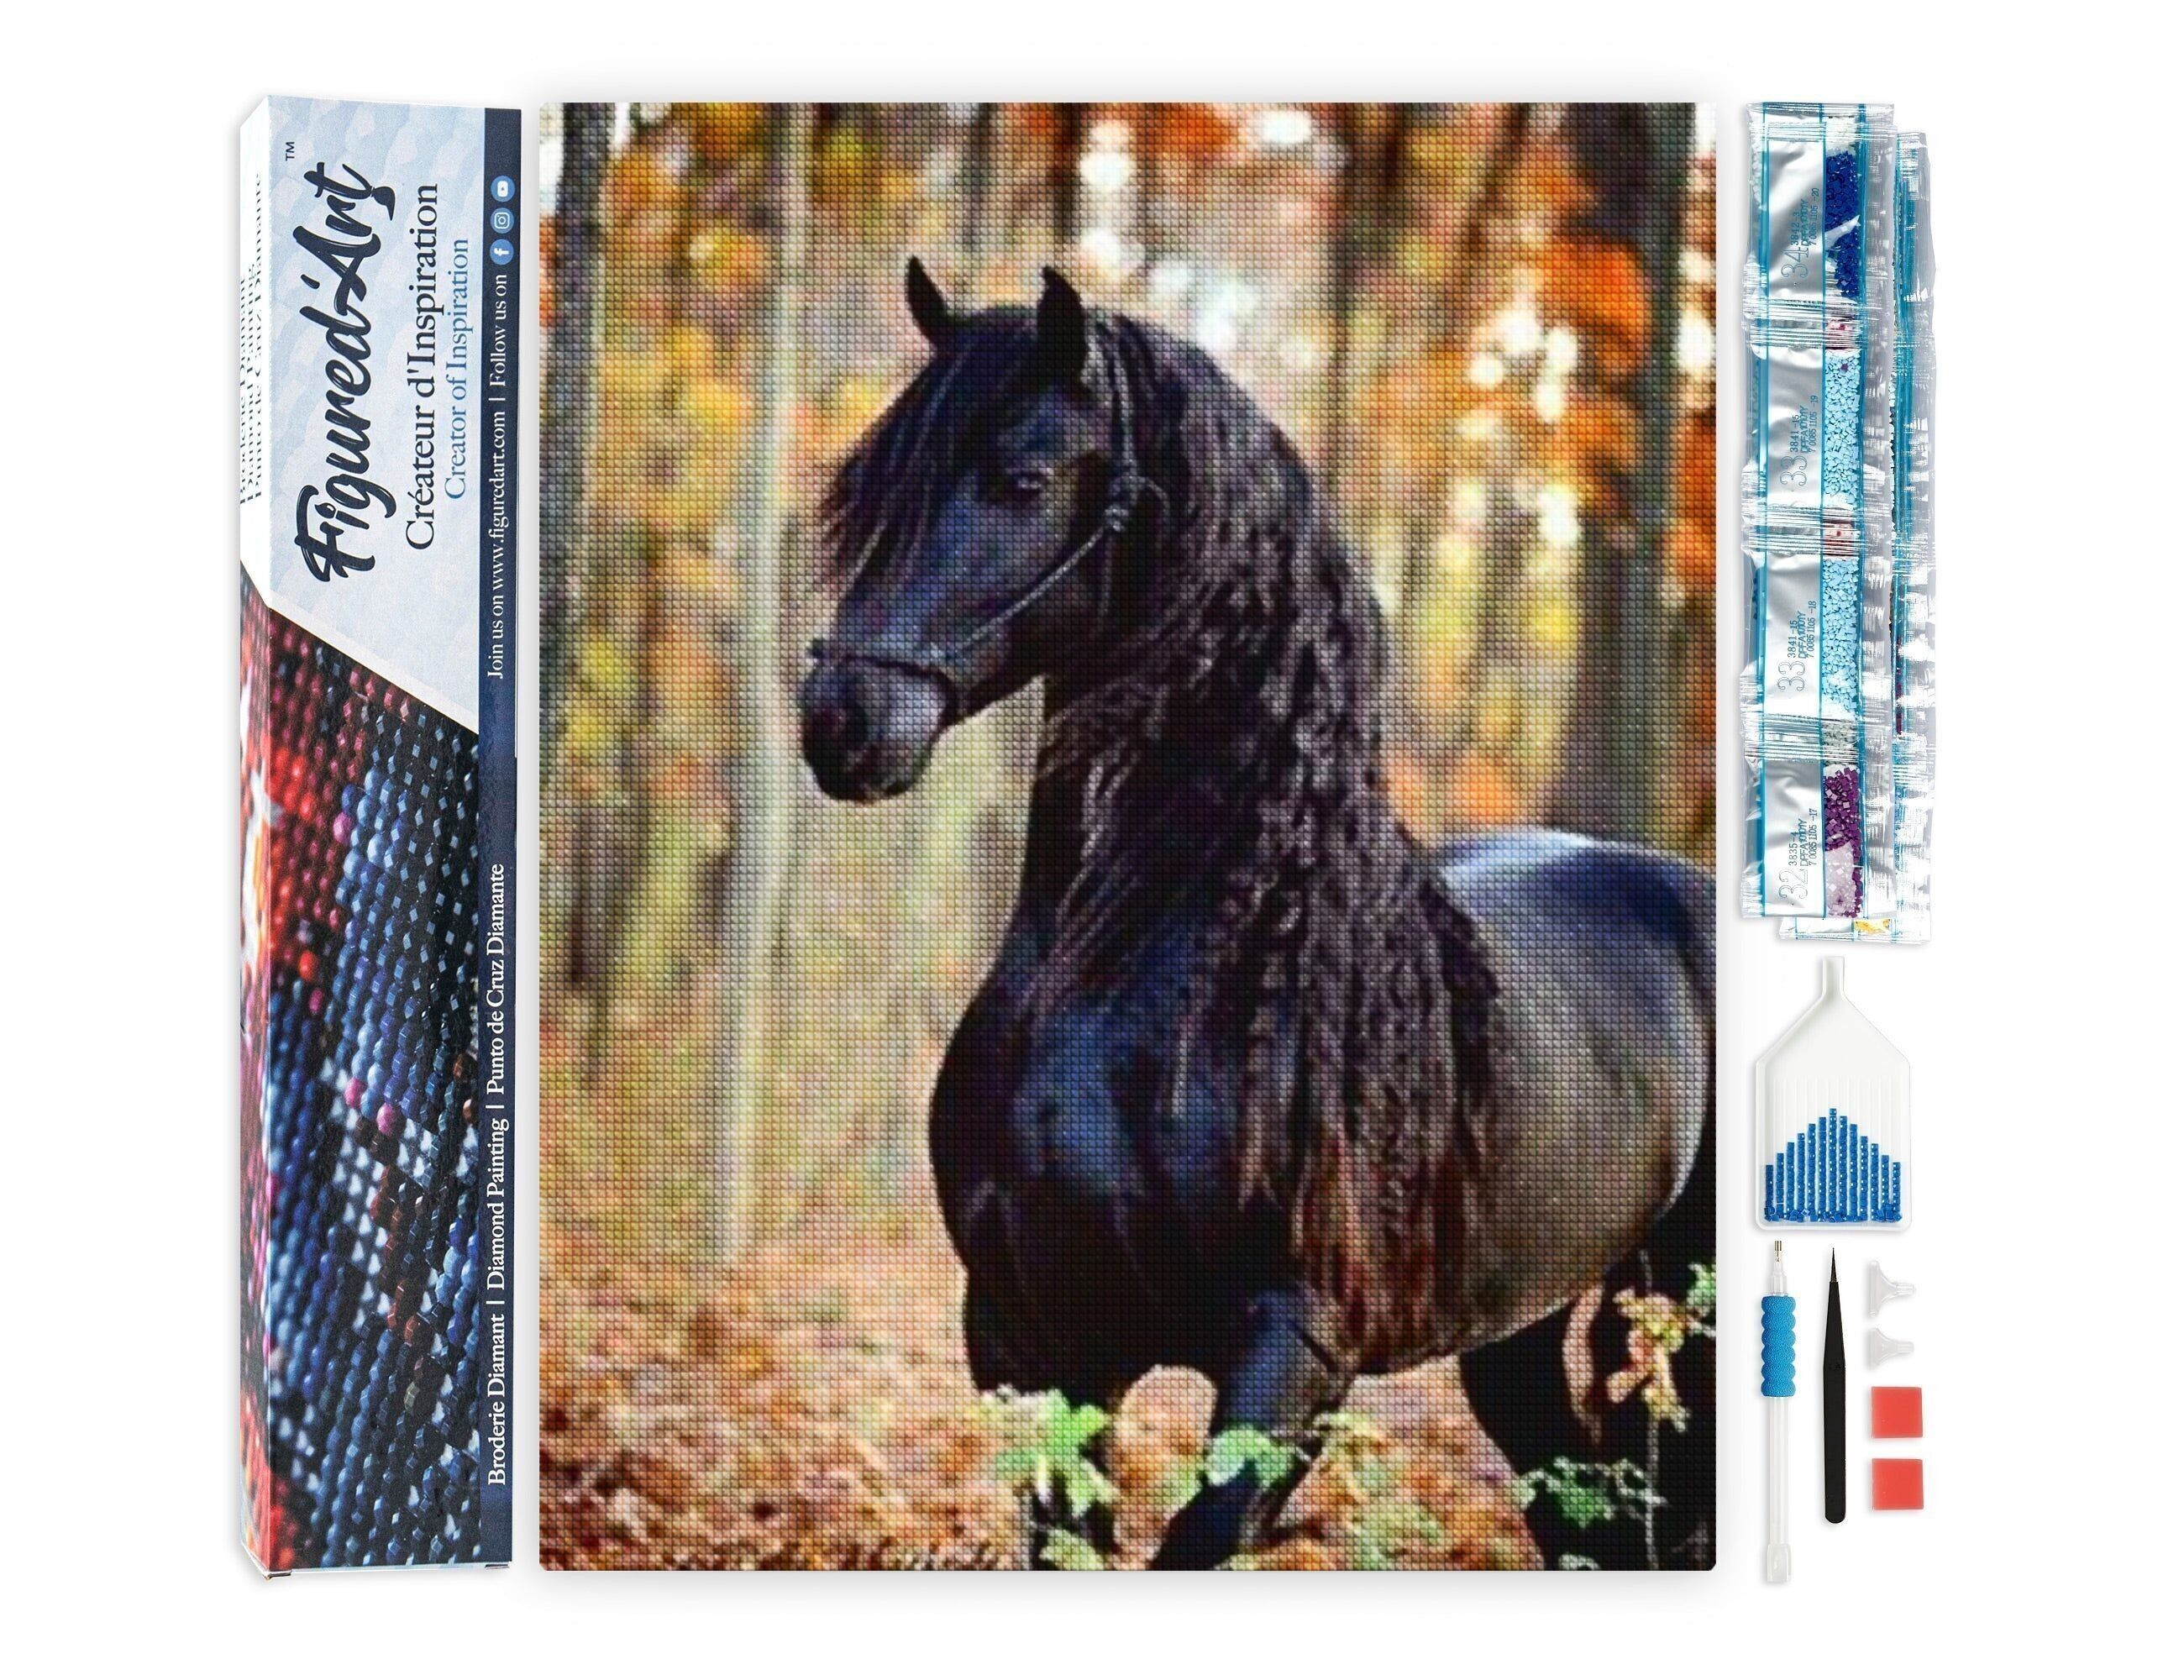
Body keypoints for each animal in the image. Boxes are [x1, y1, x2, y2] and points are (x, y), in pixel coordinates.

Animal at [799, 260, 1714, 1570]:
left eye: (1022, 479)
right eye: (872, 489)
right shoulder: (1031, 1339)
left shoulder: (1293, 1355)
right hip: (1513, 1338)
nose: (842, 720)